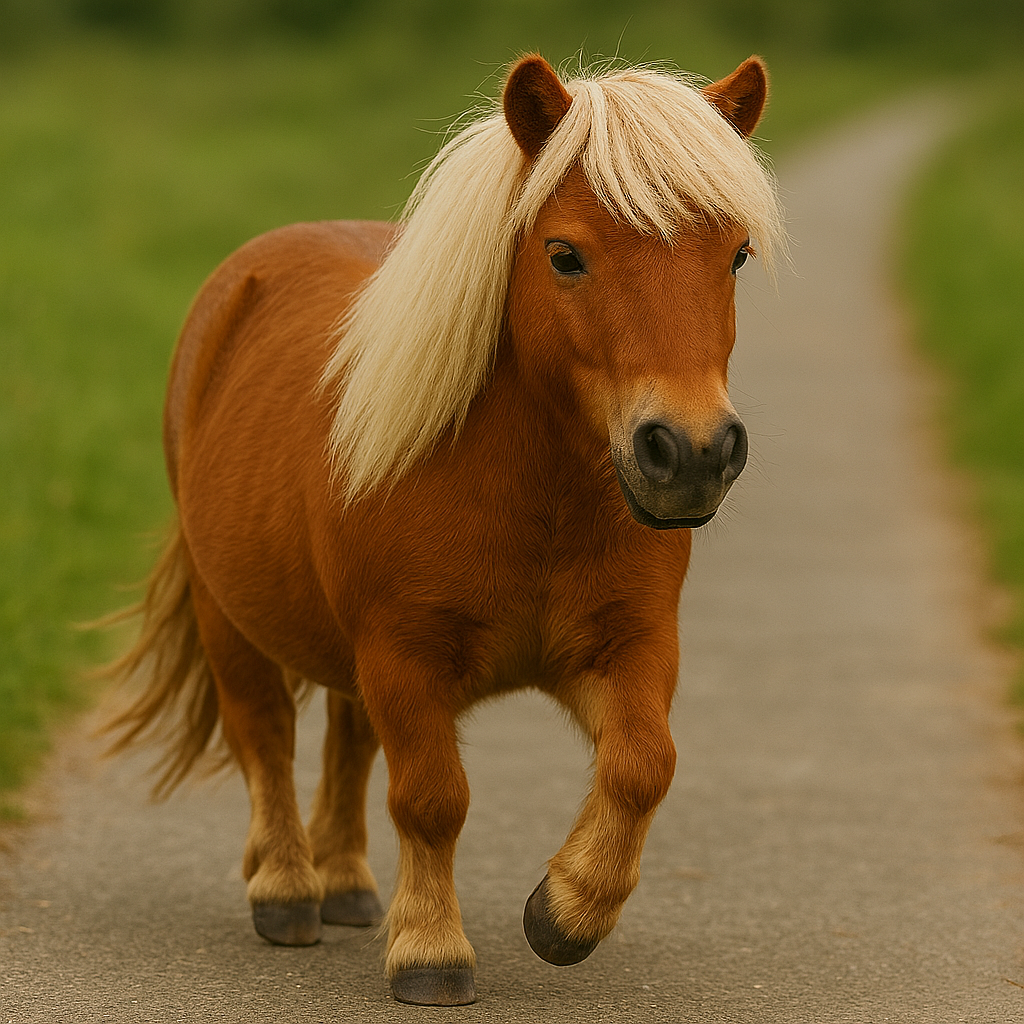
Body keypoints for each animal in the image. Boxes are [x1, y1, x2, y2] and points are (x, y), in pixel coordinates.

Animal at [102, 54, 784, 1006]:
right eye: (565, 255)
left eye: (737, 255)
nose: (690, 453)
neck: (534, 494)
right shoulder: (405, 657)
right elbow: (431, 798)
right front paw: (430, 950)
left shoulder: (626, 645)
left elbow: (644, 764)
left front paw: (567, 912)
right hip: (227, 617)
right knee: (264, 735)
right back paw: (286, 888)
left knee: (346, 744)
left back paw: (348, 884)